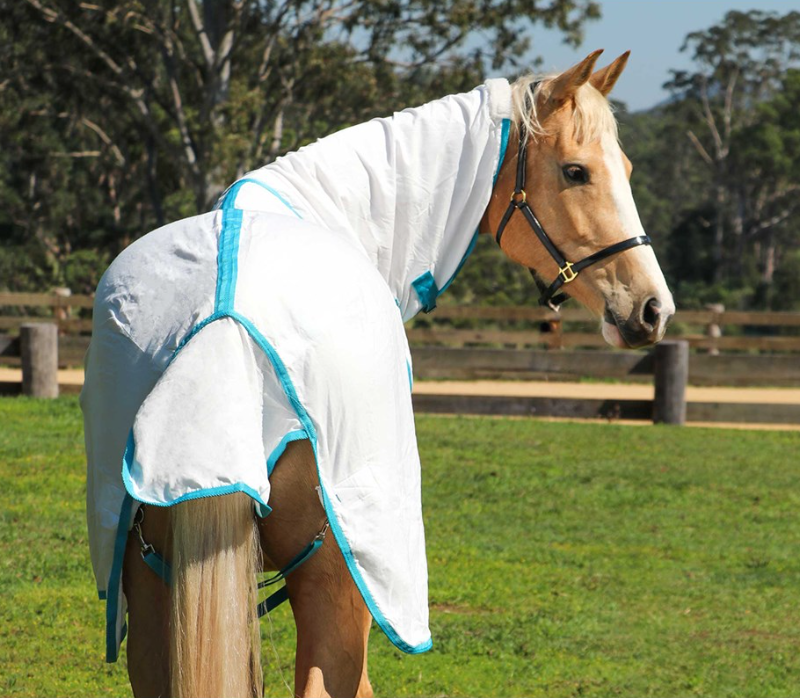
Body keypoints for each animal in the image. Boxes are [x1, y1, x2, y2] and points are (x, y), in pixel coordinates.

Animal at [80, 49, 674, 697]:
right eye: (575, 172)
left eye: (625, 167)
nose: (652, 309)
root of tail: (226, 313)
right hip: (344, 583)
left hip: (150, 583)